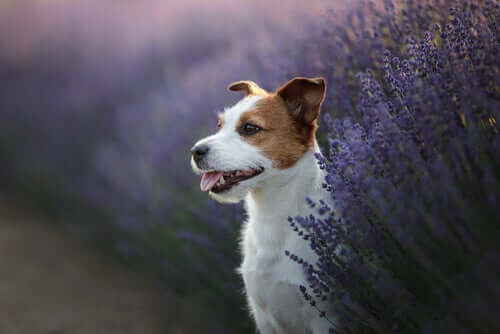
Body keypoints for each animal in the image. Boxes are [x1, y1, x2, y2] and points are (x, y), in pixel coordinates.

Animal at [190, 77, 332, 332]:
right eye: (219, 125)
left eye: (250, 128)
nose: (195, 151)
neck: (272, 215)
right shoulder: (263, 317)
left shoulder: (322, 319)